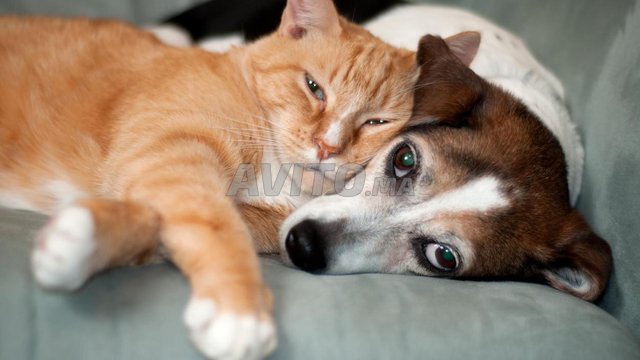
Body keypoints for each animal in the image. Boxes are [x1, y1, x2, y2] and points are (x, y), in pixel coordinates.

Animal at [0, 0, 424, 358]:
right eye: (313, 87)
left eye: (376, 122)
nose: (327, 147)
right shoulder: (173, 153)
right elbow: (214, 224)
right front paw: (239, 312)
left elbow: (157, 224)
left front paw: (80, 241)